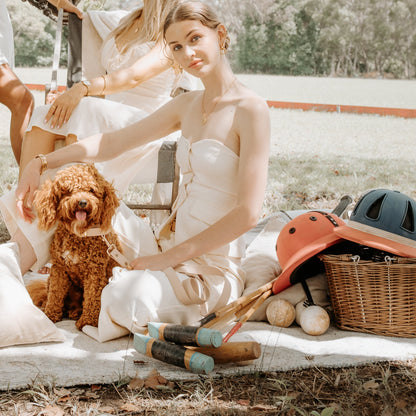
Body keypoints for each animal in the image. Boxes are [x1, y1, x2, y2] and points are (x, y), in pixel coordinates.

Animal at [30, 164, 122, 330]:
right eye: (68, 190)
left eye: (91, 190)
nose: (83, 202)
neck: (79, 234)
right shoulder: (59, 269)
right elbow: (55, 293)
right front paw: (50, 315)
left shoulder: (94, 272)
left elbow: (92, 297)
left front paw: (88, 321)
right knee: (51, 295)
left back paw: (77, 312)